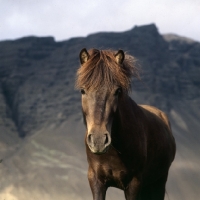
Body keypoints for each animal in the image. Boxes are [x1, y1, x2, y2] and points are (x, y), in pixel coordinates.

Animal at [76, 48, 176, 200]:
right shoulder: (96, 180)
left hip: (158, 182)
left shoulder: (134, 183)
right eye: (83, 90)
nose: (98, 140)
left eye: (117, 91)